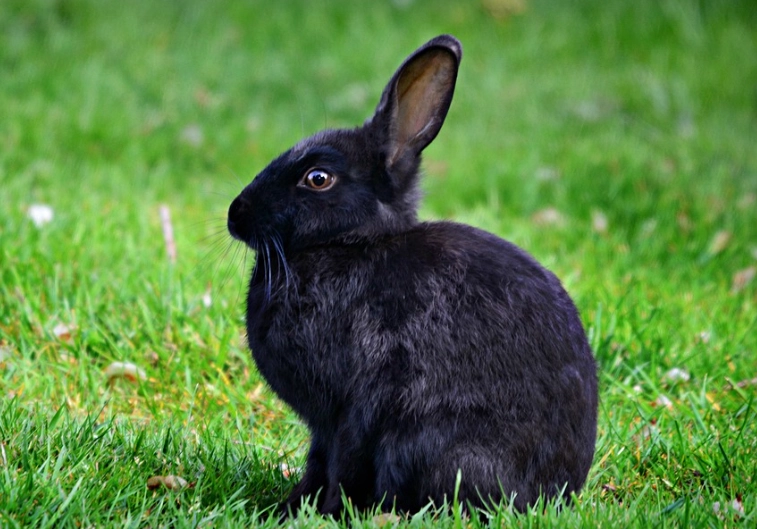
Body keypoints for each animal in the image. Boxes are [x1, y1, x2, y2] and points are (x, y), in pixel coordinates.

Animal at [227, 34, 598, 516]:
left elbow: (341, 462)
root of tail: (557, 492)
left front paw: (326, 513)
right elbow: (318, 461)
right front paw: (290, 507)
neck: (350, 243)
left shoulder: (353, 407)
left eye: (318, 178)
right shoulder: (325, 426)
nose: (236, 214)